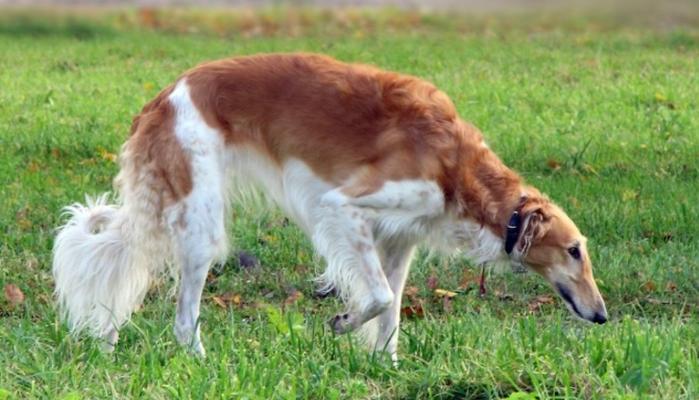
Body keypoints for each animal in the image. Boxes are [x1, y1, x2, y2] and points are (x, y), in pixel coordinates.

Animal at [52, 51, 608, 360]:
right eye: (575, 251)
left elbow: (391, 313)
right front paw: (341, 322)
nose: (602, 316)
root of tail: (163, 96)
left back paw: (108, 347)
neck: (456, 167)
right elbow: (378, 298)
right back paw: (199, 363)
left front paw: (386, 367)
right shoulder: (342, 208)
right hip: (201, 228)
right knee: (183, 321)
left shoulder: (399, 239)